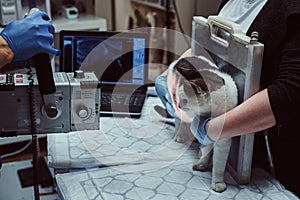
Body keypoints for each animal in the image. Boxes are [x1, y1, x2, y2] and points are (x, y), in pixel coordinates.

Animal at [169, 55, 237, 192]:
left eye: (185, 100)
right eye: (181, 100)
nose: (180, 105)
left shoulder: (222, 138)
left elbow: (218, 162)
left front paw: (216, 180)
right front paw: (203, 164)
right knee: (180, 121)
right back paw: (179, 135)